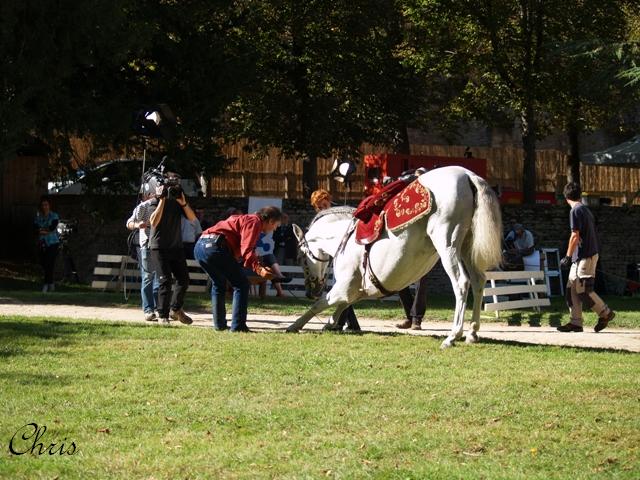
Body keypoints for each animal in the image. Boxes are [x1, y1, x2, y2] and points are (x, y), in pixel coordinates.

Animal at [288, 167, 502, 346]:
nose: (310, 291)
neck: (343, 238)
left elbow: (320, 304)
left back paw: (453, 335)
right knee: (478, 281)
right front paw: (329, 324)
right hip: (466, 248)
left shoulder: (344, 287)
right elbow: (339, 306)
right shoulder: (353, 290)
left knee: (461, 283)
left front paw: (294, 326)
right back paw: (472, 333)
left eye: (300, 258)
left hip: (447, 245)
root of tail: (467, 175)